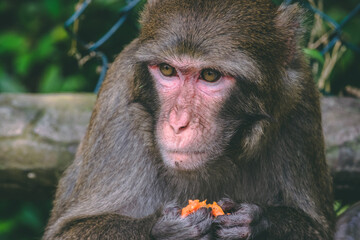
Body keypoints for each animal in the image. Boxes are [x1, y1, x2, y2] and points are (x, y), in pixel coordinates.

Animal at [43, 0, 336, 239]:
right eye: (167, 70)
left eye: (210, 75)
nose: (178, 123)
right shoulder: (118, 102)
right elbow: (68, 231)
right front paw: (164, 229)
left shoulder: (300, 100)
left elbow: (316, 229)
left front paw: (255, 221)